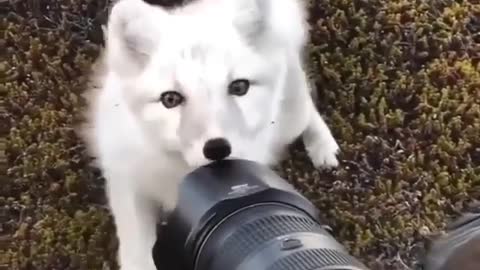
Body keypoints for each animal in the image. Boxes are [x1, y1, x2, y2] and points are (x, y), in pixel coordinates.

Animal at [79, 0, 340, 268]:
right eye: (170, 99)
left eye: (239, 87)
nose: (217, 148)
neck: (180, 170)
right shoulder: (127, 180)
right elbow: (137, 250)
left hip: (292, 119)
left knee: (309, 106)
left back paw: (322, 146)